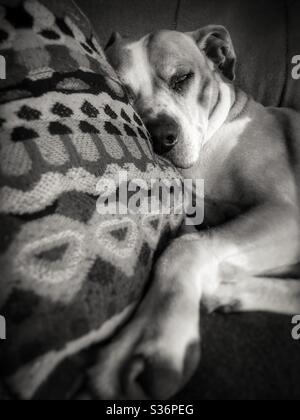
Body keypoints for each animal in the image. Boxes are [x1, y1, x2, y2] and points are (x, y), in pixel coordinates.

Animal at [88, 26, 300, 400]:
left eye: (182, 78)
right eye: (123, 91)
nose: (161, 136)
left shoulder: (285, 213)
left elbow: (185, 248)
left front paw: (153, 335)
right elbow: (190, 235)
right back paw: (233, 292)